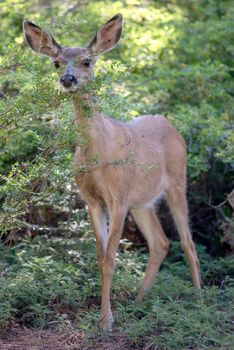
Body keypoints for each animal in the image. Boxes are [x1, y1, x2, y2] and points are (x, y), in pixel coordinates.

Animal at [22, 13, 200, 330]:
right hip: (142, 202)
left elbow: (109, 259)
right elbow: (99, 255)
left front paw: (106, 321)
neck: (98, 154)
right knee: (160, 243)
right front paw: (107, 316)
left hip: (177, 183)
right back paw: (139, 302)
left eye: (86, 61)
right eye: (56, 62)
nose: (67, 79)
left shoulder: (118, 196)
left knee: (188, 242)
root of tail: (171, 125)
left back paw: (202, 301)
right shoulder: (93, 200)